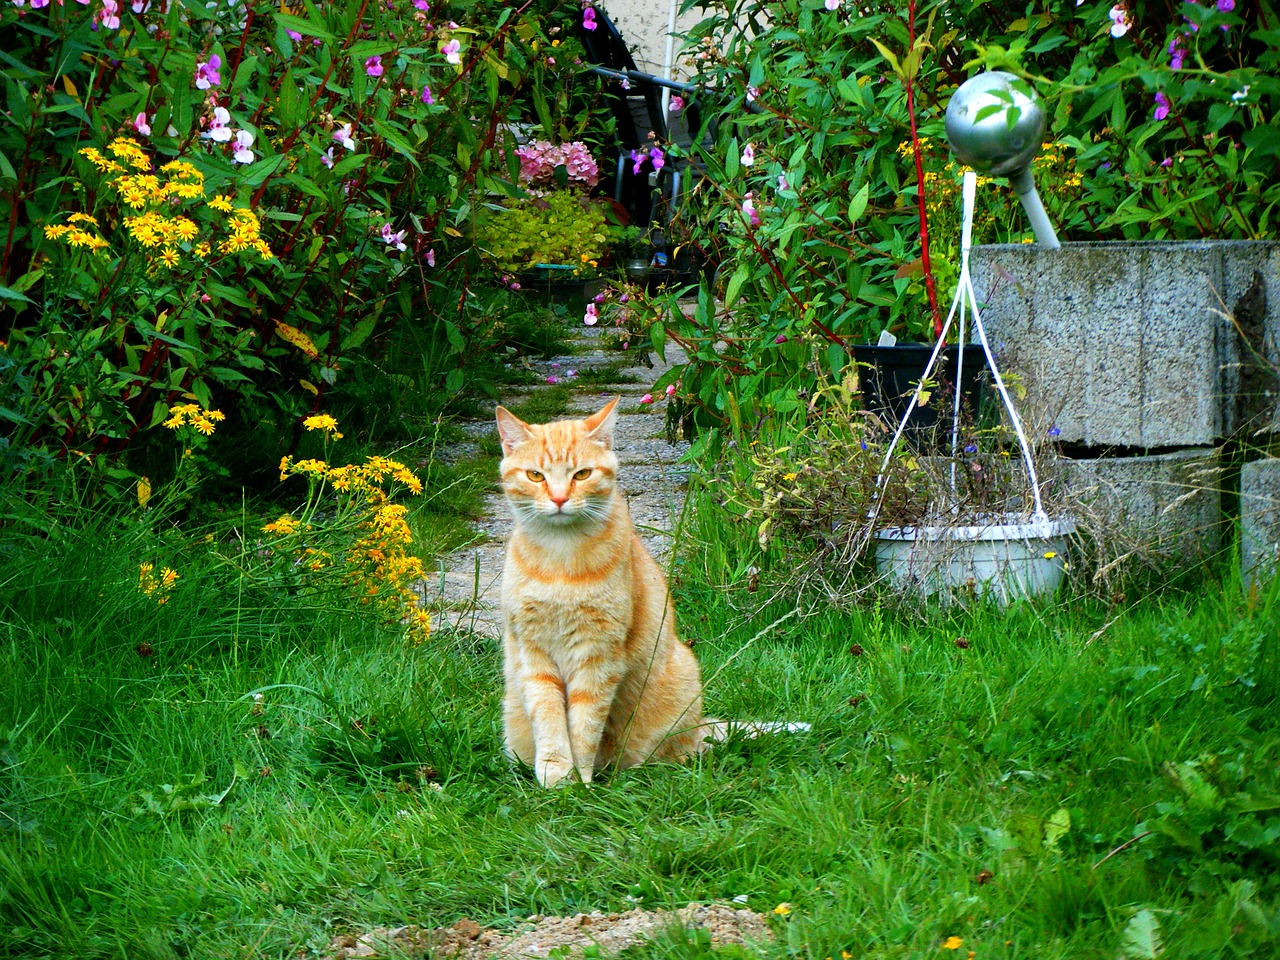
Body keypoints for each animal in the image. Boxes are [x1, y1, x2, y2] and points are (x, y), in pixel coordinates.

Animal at [494, 399, 711, 788]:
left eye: (582, 474)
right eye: (536, 476)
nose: (560, 498)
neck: (560, 558)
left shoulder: (598, 655)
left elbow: (584, 725)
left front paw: (580, 780)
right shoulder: (533, 655)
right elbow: (549, 719)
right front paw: (555, 775)